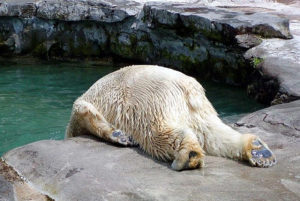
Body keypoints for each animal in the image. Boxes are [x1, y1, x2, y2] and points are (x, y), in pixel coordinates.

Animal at [66, 65, 276, 170]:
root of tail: (188, 88)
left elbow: (82, 114)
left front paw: (119, 135)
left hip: (146, 101)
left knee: (155, 132)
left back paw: (189, 155)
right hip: (200, 110)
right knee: (213, 134)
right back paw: (259, 151)